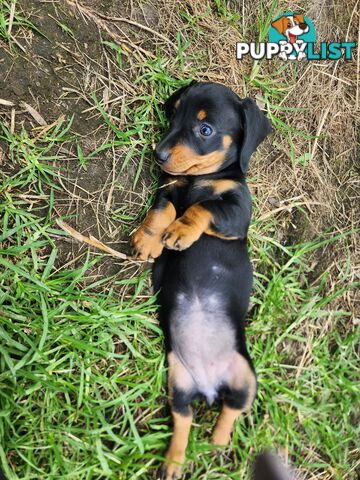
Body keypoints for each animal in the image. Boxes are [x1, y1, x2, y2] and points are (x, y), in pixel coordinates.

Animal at [131, 81, 270, 476]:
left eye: (204, 130)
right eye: (174, 115)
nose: (159, 155)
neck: (200, 177)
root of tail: (209, 387)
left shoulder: (235, 212)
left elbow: (201, 208)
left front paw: (179, 232)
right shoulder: (169, 188)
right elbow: (161, 209)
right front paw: (149, 239)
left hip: (246, 377)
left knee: (232, 408)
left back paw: (218, 442)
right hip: (178, 382)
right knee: (184, 419)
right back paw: (174, 462)